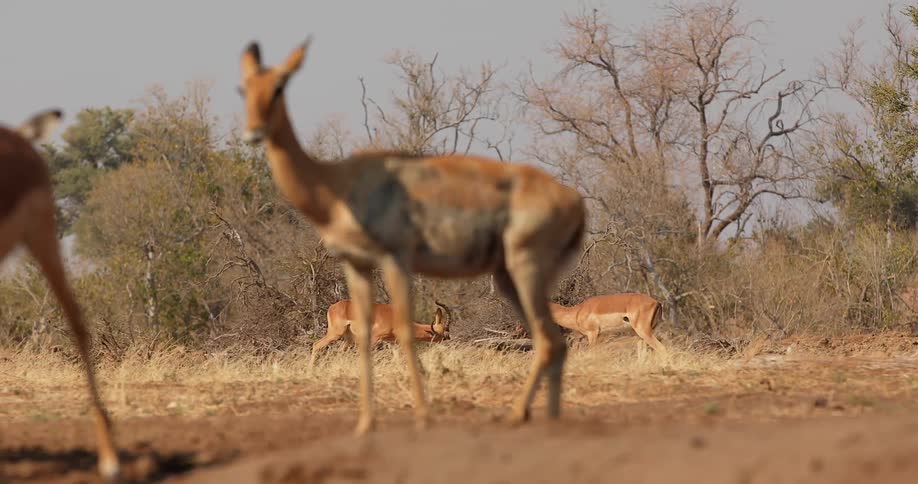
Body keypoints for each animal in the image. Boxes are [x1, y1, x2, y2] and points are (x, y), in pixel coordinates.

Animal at [309, 301, 450, 368]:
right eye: (443, 333)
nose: (448, 338)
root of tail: (332, 307)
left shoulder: (392, 343)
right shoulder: (375, 338)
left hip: (348, 339)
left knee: (338, 352)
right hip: (335, 333)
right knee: (316, 345)